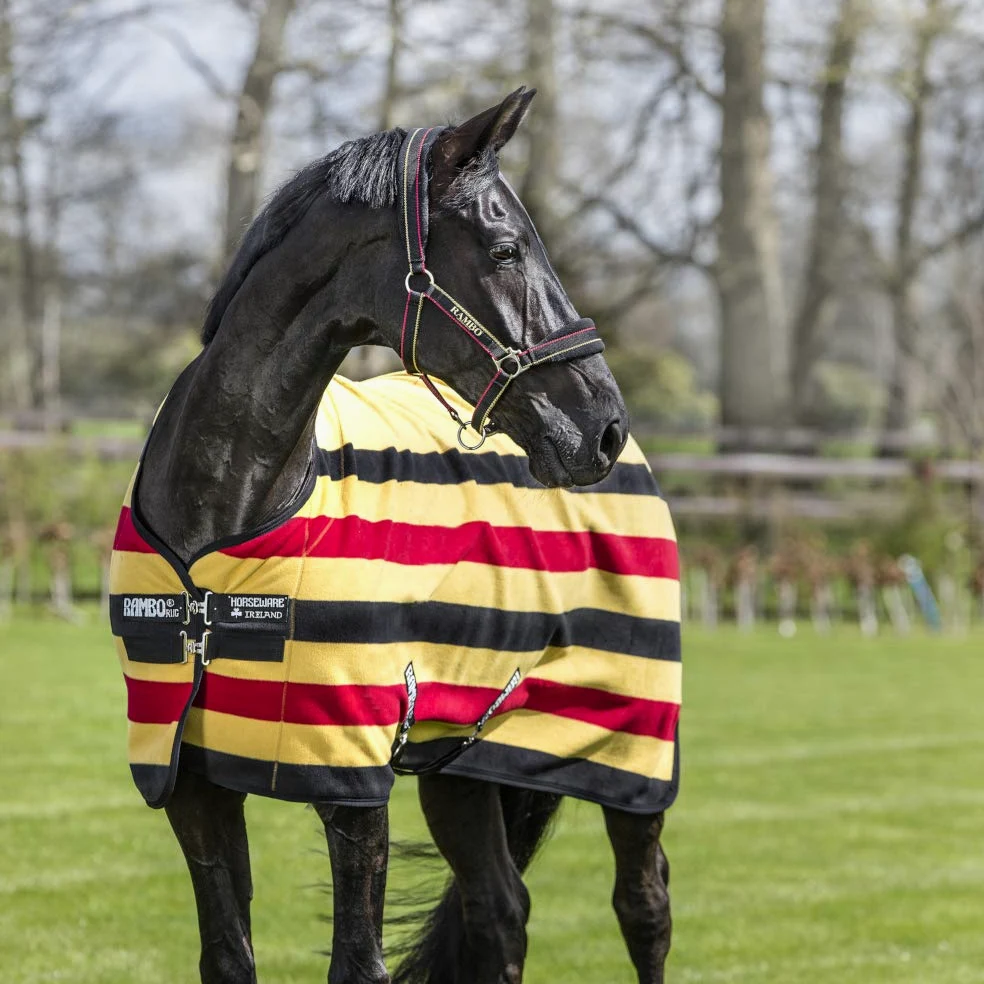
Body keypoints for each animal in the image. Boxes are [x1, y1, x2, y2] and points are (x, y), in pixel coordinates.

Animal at [107, 88, 676, 984]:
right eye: (506, 247)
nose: (602, 426)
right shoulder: (192, 780)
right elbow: (228, 955)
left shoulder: (350, 784)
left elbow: (357, 962)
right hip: (462, 764)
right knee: (500, 913)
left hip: (631, 750)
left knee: (643, 906)